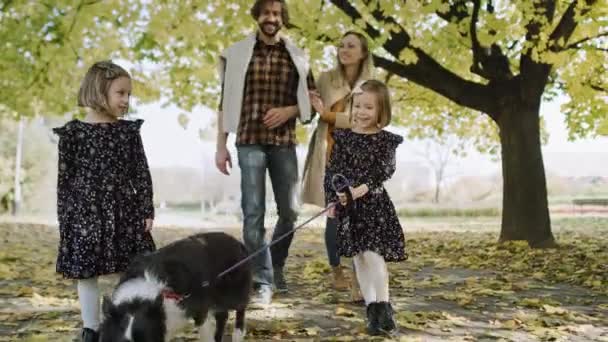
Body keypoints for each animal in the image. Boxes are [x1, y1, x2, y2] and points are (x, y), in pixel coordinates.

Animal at [100, 231, 252, 340]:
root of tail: (238, 243)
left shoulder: (200, 309)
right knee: (222, 315)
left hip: (234, 292)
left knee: (240, 310)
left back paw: (238, 335)